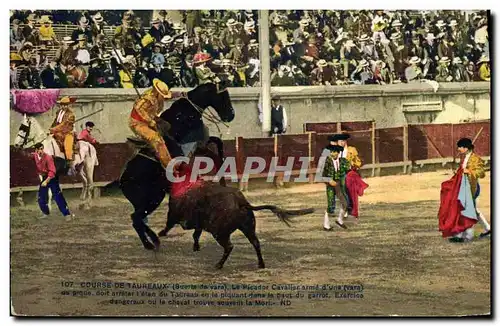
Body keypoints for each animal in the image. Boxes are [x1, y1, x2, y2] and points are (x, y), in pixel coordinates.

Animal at [118, 83, 235, 251]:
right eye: (223, 96)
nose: (231, 115)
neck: (187, 112)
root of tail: (121, 181)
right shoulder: (194, 144)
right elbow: (216, 155)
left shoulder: (199, 145)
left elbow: (217, 145)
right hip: (154, 198)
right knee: (136, 218)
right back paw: (152, 241)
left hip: (146, 201)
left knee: (138, 220)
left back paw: (153, 240)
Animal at [158, 180, 314, 268]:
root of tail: (241, 202)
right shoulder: (198, 224)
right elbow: (195, 234)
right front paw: (196, 247)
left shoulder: (174, 214)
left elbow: (170, 224)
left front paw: (161, 233)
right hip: (248, 228)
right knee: (256, 243)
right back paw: (261, 264)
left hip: (219, 233)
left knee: (229, 246)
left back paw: (219, 265)